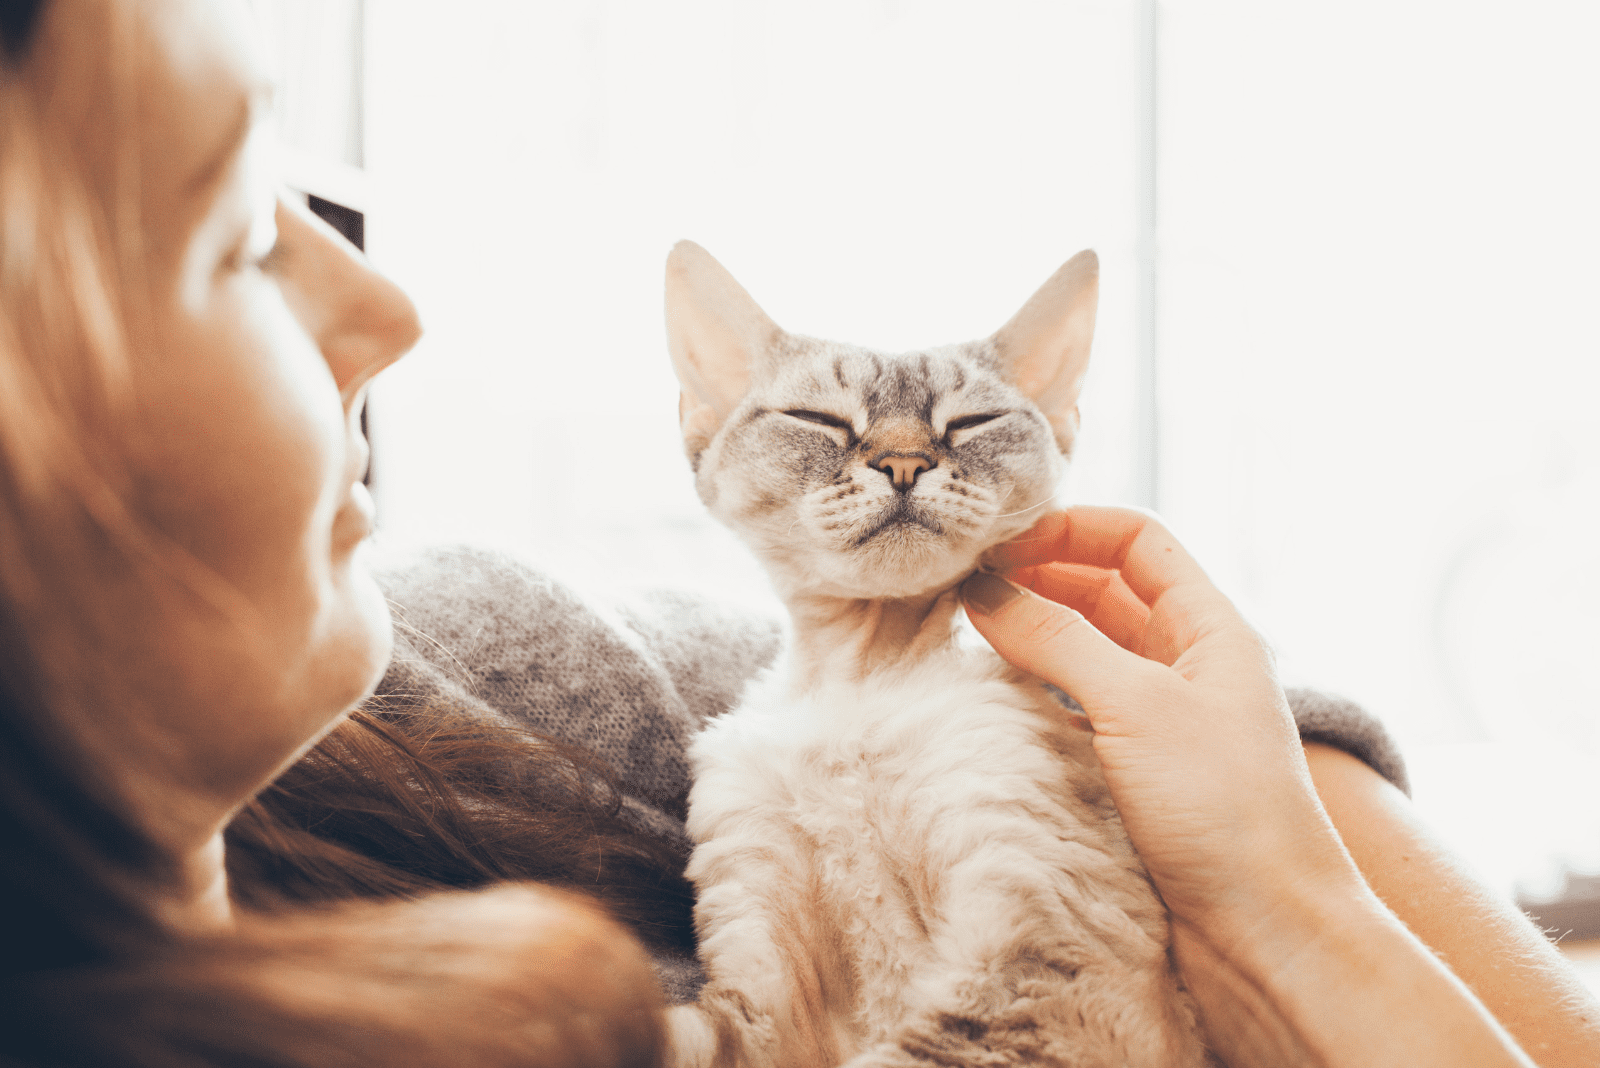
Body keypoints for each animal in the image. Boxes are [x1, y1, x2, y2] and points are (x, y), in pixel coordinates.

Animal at [665, 244, 1209, 1068]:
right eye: (820, 420)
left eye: (971, 423)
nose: (902, 464)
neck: (858, 678)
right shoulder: (758, 985)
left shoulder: (1041, 956)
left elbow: (904, 1056)